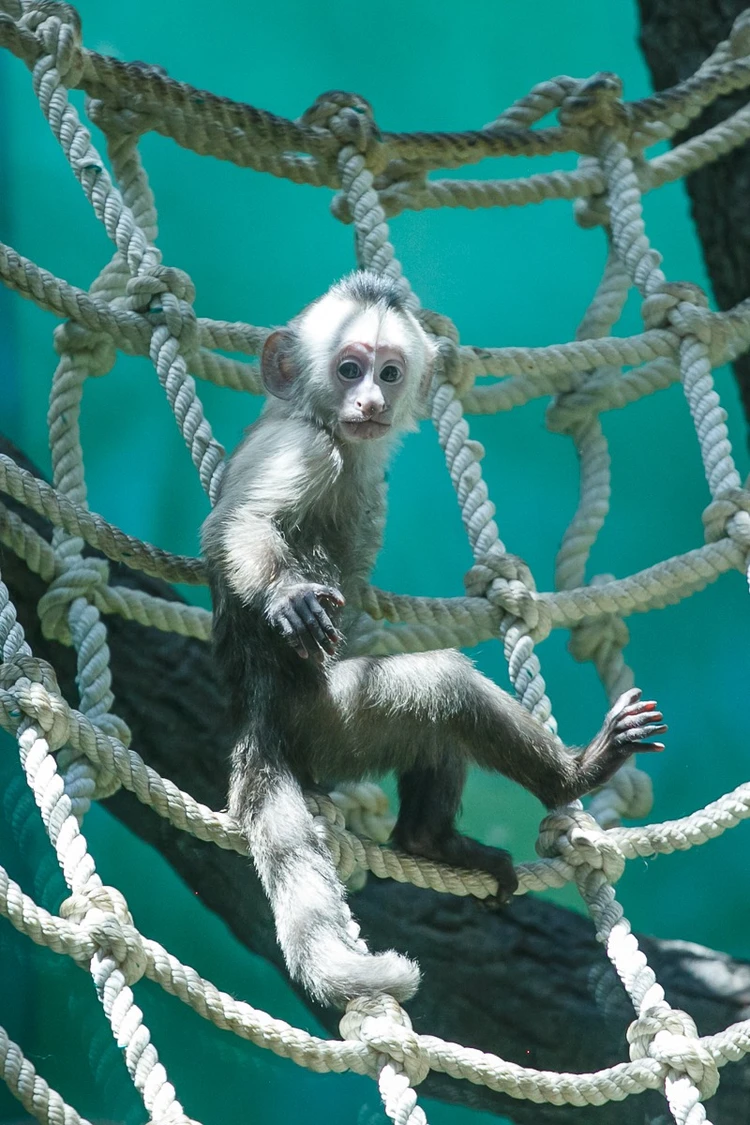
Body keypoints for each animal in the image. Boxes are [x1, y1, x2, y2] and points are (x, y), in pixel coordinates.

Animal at [201, 274, 670, 1012]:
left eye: (389, 373)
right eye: (349, 369)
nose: (370, 401)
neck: (328, 429)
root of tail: (256, 716)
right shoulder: (302, 449)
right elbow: (240, 525)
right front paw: (286, 597)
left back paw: (428, 838)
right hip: (329, 723)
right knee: (444, 686)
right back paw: (575, 773)